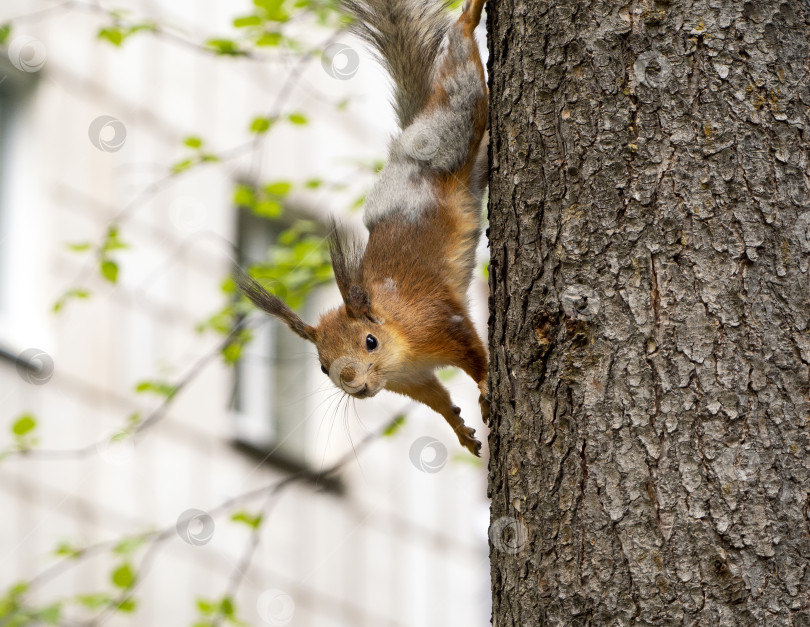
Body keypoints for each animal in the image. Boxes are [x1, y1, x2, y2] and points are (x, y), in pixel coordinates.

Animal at [234, 0, 486, 454]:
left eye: (370, 341)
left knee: (462, 78)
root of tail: (407, 140)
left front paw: (490, 390)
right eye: (322, 366)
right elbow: (438, 398)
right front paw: (461, 429)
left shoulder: (441, 321)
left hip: (454, 130)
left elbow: (476, 357)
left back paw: (469, 17)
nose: (352, 382)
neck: (401, 338)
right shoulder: (412, 379)